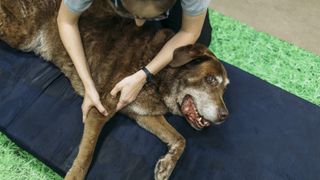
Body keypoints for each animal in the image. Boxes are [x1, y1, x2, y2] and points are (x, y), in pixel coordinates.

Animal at [0, 0, 230, 179]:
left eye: (225, 88)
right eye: (211, 79)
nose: (225, 116)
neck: (162, 77)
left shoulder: (145, 115)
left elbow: (180, 139)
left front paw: (166, 166)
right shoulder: (100, 109)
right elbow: (86, 156)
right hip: (21, 32)